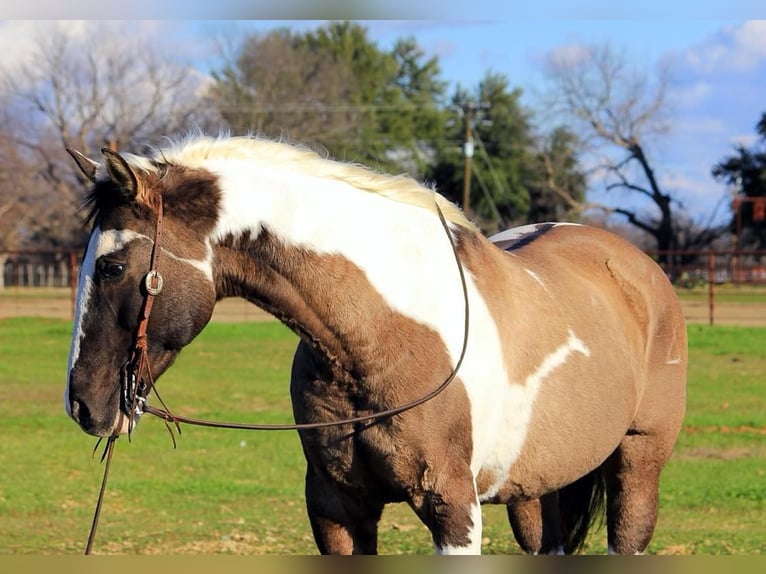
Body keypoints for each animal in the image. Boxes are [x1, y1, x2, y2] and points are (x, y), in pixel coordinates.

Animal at [64, 135, 688, 560]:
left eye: (112, 265)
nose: (82, 404)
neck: (381, 336)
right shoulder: (337, 510)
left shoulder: (453, 510)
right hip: (536, 491)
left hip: (638, 467)